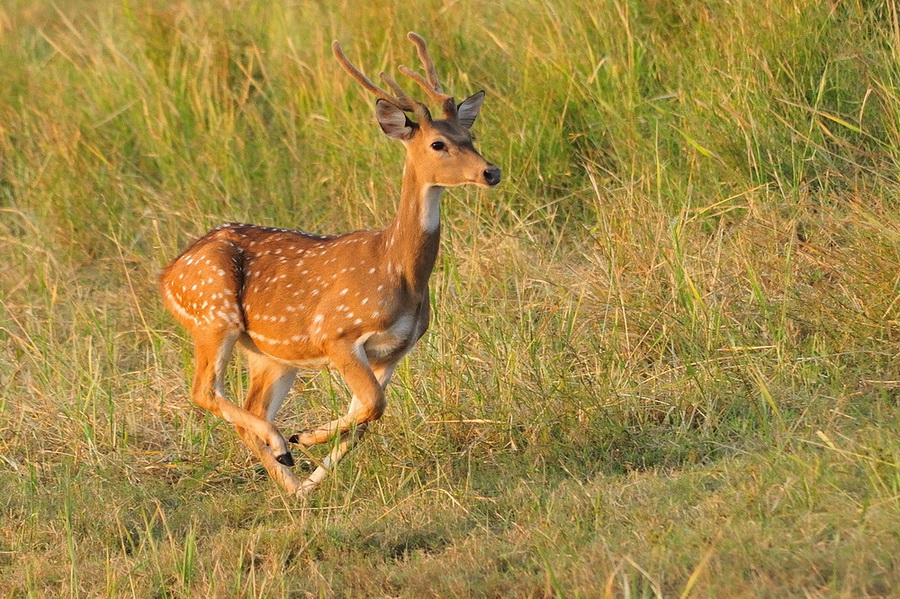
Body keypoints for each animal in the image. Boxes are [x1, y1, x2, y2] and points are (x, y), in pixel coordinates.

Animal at [159, 34, 502, 496]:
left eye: (471, 134)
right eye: (437, 144)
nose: (491, 171)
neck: (396, 270)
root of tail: (167, 277)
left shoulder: (395, 350)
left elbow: (366, 416)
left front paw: (311, 461)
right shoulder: (338, 333)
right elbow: (374, 404)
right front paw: (304, 438)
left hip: (271, 354)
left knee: (252, 408)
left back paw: (292, 484)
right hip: (212, 313)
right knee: (204, 390)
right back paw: (282, 447)